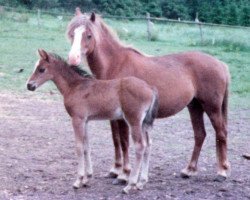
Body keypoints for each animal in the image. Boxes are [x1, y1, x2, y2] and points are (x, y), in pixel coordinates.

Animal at [25, 49, 158, 193]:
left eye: (41, 69)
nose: (29, 85)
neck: (75, 86)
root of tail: (150, 88)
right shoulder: (86, 121)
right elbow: (86, 146)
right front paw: (87, 178)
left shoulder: (77, 119)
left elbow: (79, 147)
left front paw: (78, 180)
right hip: (144, 123)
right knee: (148, 145)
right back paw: (141, 183)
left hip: (133, 121)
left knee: (140, 146)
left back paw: (130, 185)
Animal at [66, 8, 230, 187]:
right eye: (72, 34)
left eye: (88, 35)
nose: (72, 59)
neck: (116, 64)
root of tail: (221, 65)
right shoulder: (113, 116)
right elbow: (116, 140)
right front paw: (115, 170)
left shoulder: (125, 117)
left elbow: (124, 142)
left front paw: (124, 175)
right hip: (195, 106)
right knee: (200, 134)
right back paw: (189, 170)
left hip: (212, 107)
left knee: (221, 133)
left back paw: (222, 172)